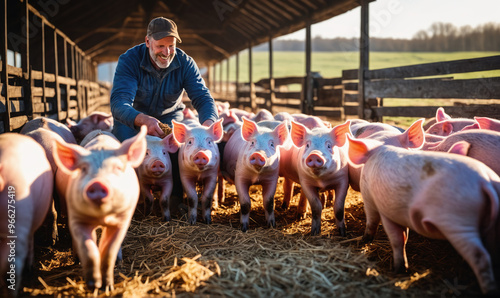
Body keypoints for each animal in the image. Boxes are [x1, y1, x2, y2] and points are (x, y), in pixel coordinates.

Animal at [52, 124, 146, 290]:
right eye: (83, 169)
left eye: (117, 168)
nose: (97, 183)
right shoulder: (78, 218)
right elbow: (89, 250)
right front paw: (93, 285)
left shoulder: (122, 220)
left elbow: (109, 252)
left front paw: (108, 287)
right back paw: (76, 258)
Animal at [346, 136, 500, 294]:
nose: (361, 241)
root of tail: (486, 181)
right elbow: (404, 237)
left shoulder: (382, 209)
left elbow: (392, 236)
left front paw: (397, 270)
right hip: (490, 224)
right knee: (492, 250)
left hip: (458, 222)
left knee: (481, 256)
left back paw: (490, 290)